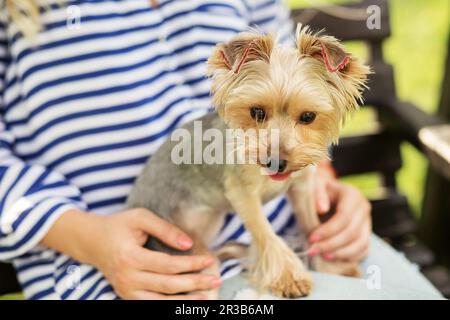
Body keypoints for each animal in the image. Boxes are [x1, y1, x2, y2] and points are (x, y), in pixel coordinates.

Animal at [125, 24, 370, 298]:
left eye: (308, 116)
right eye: (257, 112)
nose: (276, 162)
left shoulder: (301, 186)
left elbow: (311, 225)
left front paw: (331, 265)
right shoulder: (242, 193)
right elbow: (266, 233)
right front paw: (289, 276)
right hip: (183, 254)